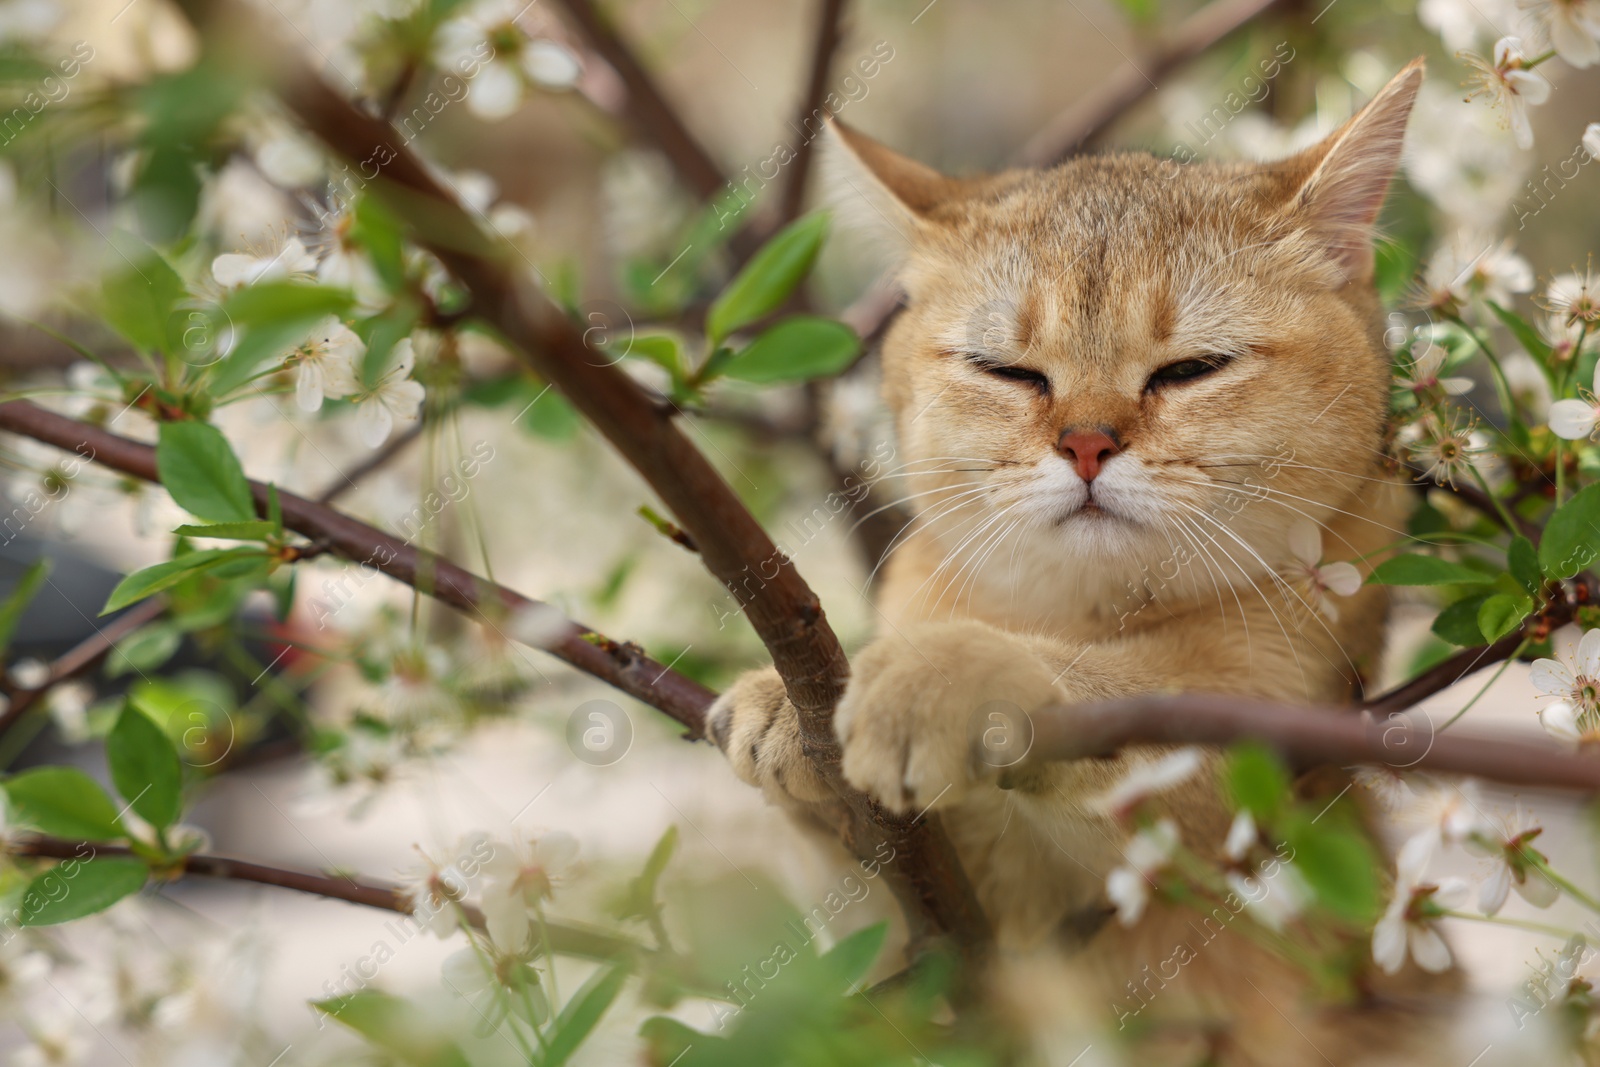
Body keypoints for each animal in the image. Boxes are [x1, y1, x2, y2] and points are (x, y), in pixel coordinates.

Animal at [707, 60, 1478, 1067]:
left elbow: (1111, 685)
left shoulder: (1260, 729)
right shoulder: (945, 956)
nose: (1085, 444)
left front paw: (944, 676)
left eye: (1193, 368)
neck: (1079, 609)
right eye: (1007, 370)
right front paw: (788, 703)